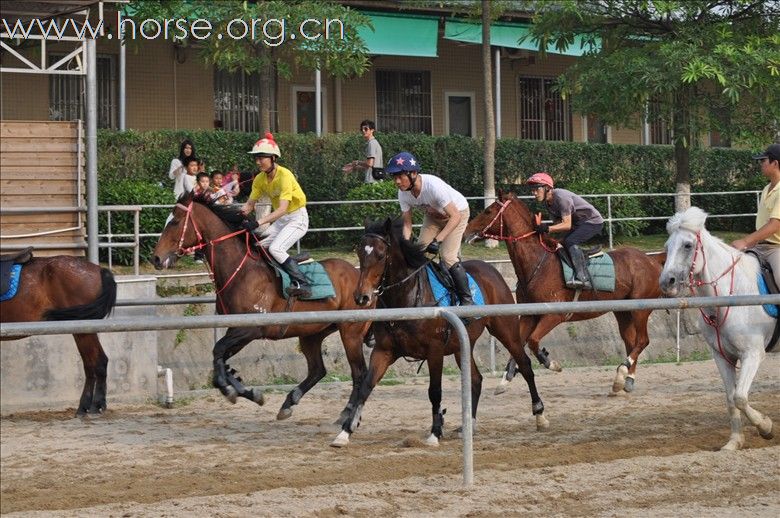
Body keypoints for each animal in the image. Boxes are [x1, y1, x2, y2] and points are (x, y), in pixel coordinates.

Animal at [0, 252, 116, 418]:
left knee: (98, 361)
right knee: (90, 364)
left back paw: (95, 406)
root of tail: (99, 270)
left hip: (83, 329)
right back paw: (85, 407)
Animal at [153, 193, 374, 424]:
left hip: (350, 332)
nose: (156, 258)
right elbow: (220, 357)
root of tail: (362, 281)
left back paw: (348, 412)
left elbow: (218, 351)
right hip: (312, 333)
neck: (240, 270)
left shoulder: (249, 329)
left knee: (359, 373)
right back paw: (289, 403)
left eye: (175, 221)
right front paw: (247, 391)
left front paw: (229, 389)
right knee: (317, 370)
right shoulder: (235, 329)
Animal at [330, 217, 548, 448]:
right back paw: (468, 425)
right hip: (462, 345)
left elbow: (434, 392)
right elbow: (366, 386)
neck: (406, 298)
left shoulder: (434, 351)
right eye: (360, 253)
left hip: (505, 330)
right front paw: (345, 431)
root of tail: (489, 269)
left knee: (525, 365)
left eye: (380, 255)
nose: (361, 297)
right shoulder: (383, 350)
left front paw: (435, 432)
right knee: (476, 379)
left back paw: (539, 414)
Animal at [464, 193, 664, 396]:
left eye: (488, 211)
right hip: (623, 311)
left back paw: (624, 371)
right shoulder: (529, 315)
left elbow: (533, 341)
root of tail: (652, 260)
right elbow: (518, 344)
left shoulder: (554, 314)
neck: (537, 265)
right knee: (630, 342)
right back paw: (624, 380)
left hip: (640, 309)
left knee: (642, 340)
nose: (466, 231)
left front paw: (550, 362)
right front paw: (505, 379)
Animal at [660, 207, 772, 450]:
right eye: (667, 246)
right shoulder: (722, 357)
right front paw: (734, 442)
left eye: (687, 245)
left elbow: (740, 397)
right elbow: (731, 399)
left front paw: (766, 426)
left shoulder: (752, 354)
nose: (666, 282)